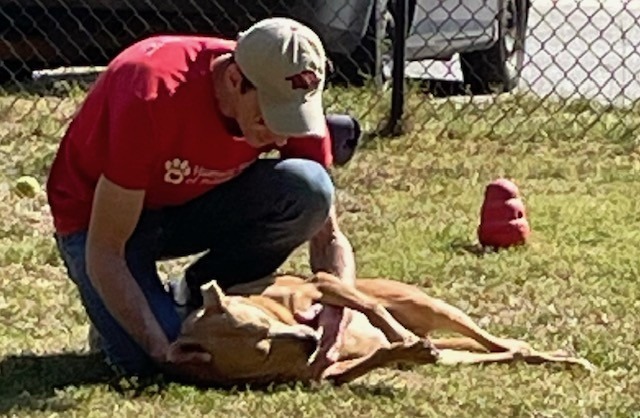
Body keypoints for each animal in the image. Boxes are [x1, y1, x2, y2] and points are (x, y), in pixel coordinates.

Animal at [169, 272, 596, 386]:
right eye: (262, 350)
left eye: (264, 325)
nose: (312, 340)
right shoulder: (325, 375)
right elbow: (366, 361)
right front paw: (403, 348)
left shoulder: (322, 283)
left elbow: (369, 308)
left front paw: (397, 336)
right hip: (457, 356)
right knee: (508, 352)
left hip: (436, 308)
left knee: (495, 341)